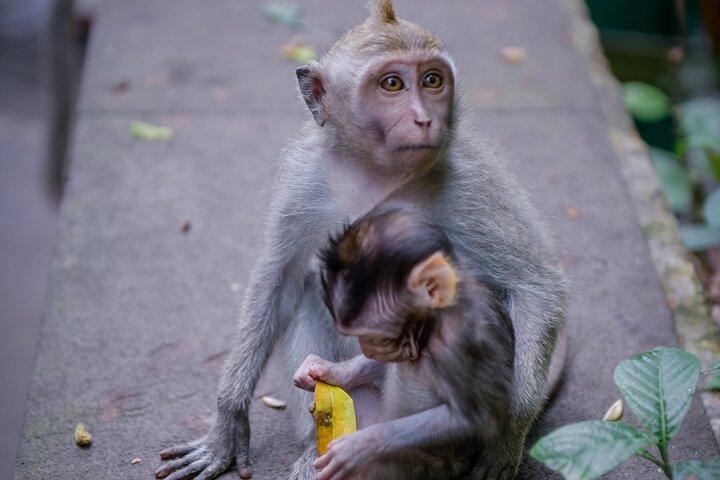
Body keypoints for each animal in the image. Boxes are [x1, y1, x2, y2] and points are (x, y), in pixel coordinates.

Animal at [291, 201, 516, 480]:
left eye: (373, 335)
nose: (368, 349)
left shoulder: (465, 340)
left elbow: (474, 420)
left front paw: (361, 446)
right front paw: (324, 369)